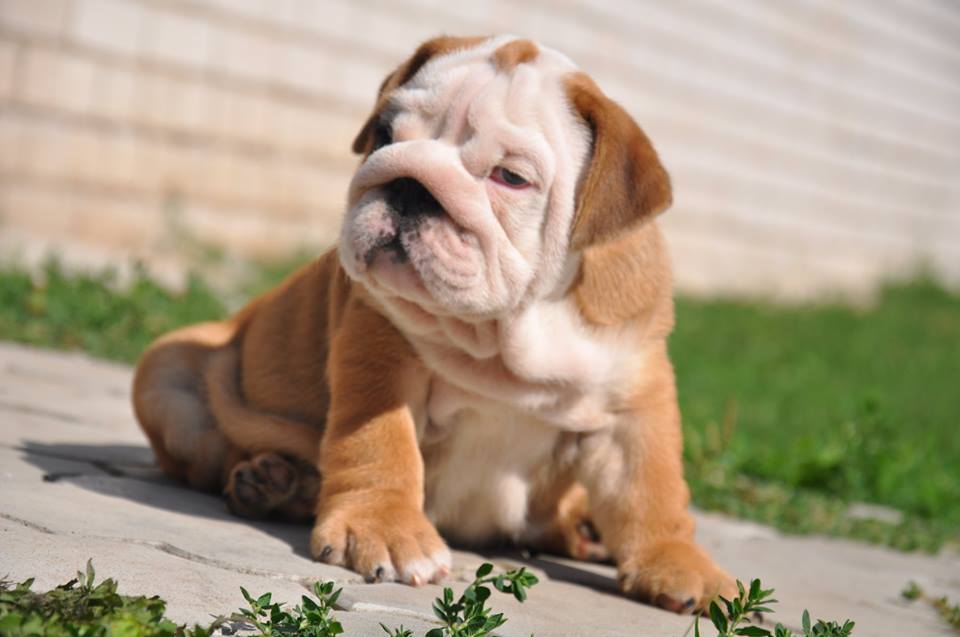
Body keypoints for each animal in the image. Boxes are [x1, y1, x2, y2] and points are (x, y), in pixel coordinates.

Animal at [132, 35, 735, 613]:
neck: (511, 329)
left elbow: (650, 487)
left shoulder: (633, 400)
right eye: (382, 135)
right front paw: (382, 526)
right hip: (167, 369)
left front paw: (678, 562)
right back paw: (277, 483)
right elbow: (381, 446)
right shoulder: (378, 352)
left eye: (511, 177)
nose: (408, 184)